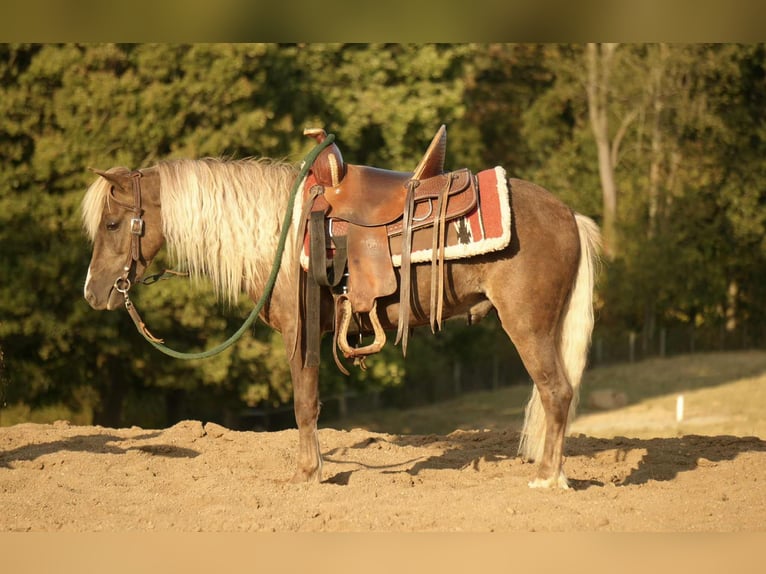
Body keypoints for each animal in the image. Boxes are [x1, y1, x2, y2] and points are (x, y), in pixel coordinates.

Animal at [82, 151, 601, 489]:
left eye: (112, 224)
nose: (93, 292)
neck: (282, 235)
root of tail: (569, 215)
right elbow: (310, 404)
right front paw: (312, 469)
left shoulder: (300, 332)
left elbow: (303, 405)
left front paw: (307, 474)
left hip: (528, 325)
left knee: (556, 392)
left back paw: (546, 479)